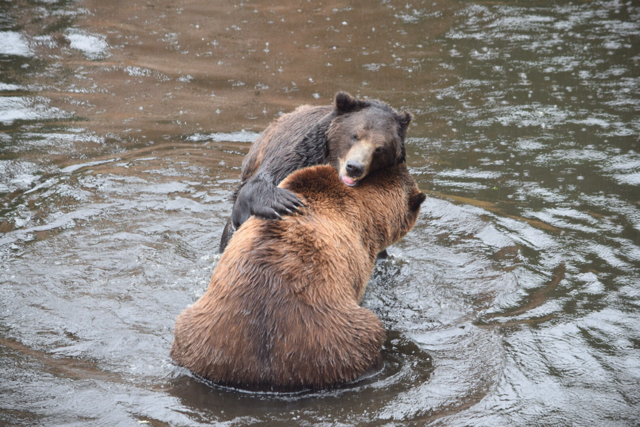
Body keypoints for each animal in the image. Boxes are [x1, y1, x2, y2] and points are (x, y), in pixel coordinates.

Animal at [219, 91, 413, 253]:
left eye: (380, 148)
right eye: (355, 135)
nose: (354, 167)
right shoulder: (297, 156)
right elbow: (257, 186)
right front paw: (284, 202)